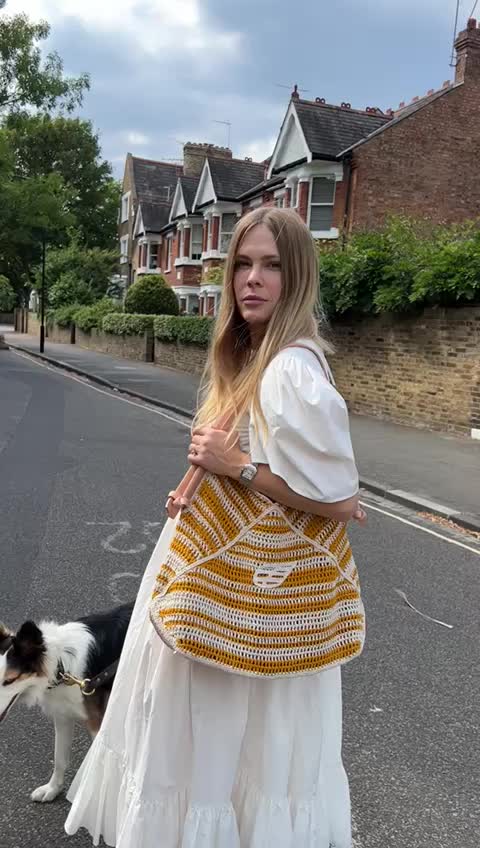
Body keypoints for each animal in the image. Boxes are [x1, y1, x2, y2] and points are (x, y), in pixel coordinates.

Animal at [0, 601, 134, 803]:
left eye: (9, 680)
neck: (61, 667)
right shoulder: (62, 715)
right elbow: (59, 758)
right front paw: (52, 789)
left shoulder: (95, 722)